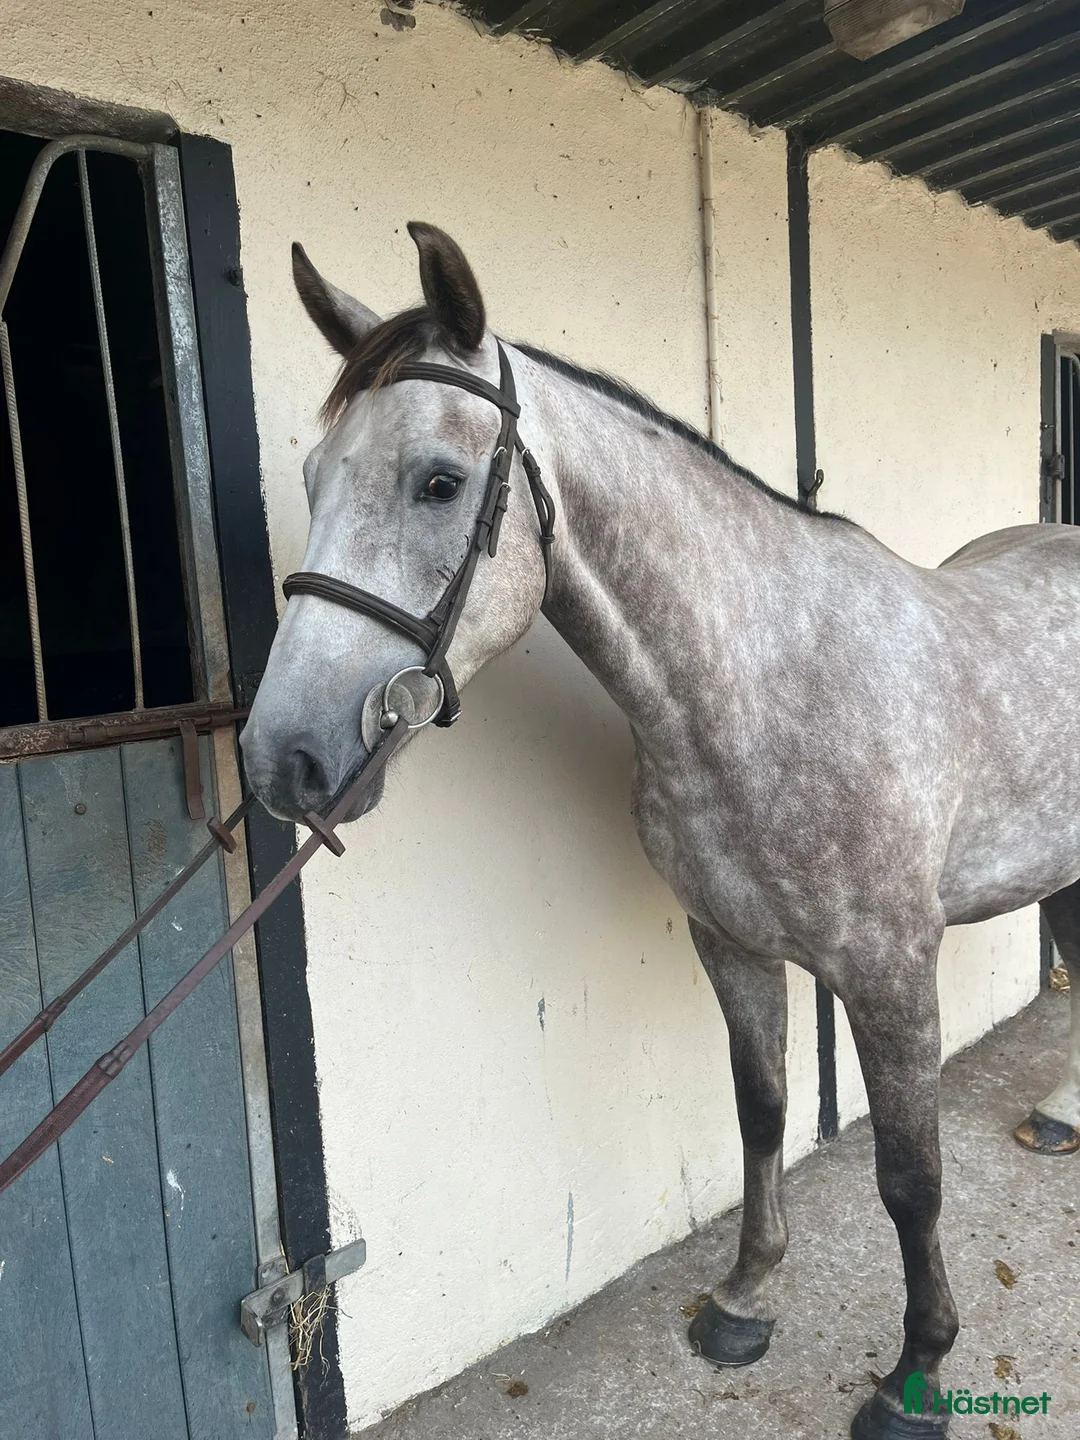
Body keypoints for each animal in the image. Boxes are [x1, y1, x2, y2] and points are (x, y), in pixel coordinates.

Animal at [240, 222, 1080, 1439]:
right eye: (312, 477)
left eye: (439, 483)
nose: (282, 759)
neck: (762, 681)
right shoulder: (726, 940)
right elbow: (762, 1109)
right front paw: (741, 1299)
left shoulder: (887, 970)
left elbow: (910, 1178)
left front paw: (915, 1374)